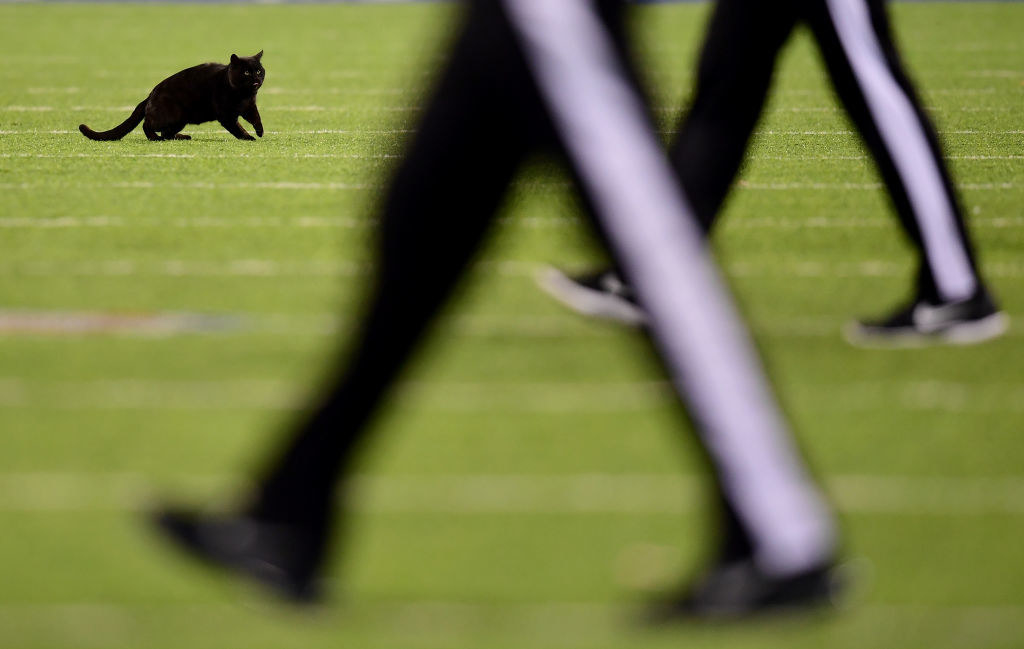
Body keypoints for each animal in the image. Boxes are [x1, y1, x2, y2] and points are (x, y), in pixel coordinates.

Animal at [79, 50, 266, 141]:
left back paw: (182, 137)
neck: (243, 95)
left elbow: (256, 118)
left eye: (258, 71)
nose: (256, 79)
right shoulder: (226, 115)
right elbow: (238, 128)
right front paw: (248, 137)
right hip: (174, 115)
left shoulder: (249, 106)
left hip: (179, 120)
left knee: (166, 132)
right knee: (148, 125)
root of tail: (150, 94)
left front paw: (260, 132)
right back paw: (155, 139)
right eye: (247, 72)